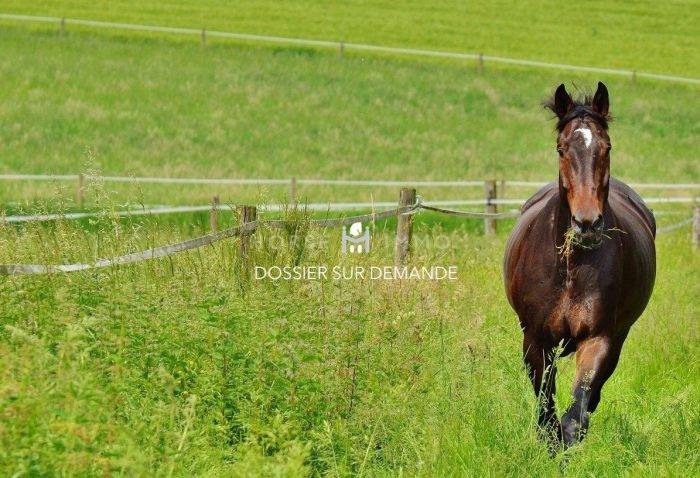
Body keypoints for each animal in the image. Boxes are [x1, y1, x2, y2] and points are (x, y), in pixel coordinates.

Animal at [503, 82, 656, 448]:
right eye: (561, 149)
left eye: (607, 147)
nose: (587, 224)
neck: (570, 269)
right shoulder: (536, 340)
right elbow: (546, 411)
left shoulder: (599, 338)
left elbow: (575, 417)